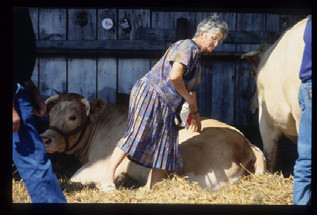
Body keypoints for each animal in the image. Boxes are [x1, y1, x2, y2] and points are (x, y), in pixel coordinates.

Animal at [40, 93, 266, 191]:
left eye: (73, 117)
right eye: (51, 114)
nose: (45, 138)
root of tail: (245, 145)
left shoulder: (97, 167)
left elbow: (73, 179)